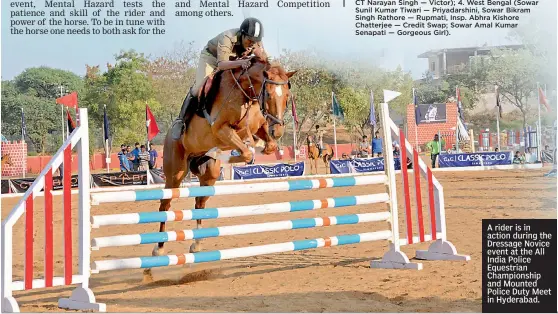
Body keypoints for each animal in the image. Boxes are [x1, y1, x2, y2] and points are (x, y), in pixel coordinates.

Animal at [144, 54, 300, 282]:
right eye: (269, 94)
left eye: (287, 96)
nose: (278, 131)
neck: (246, 94)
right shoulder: (221, 130)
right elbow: (244, 148)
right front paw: (241, 154)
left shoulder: (257, 127)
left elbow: (265, 144)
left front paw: (260, 147)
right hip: (175, 172)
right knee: (165, 206)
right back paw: (157, 253)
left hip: (210, 175)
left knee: (199, 203)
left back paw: (196, 245)